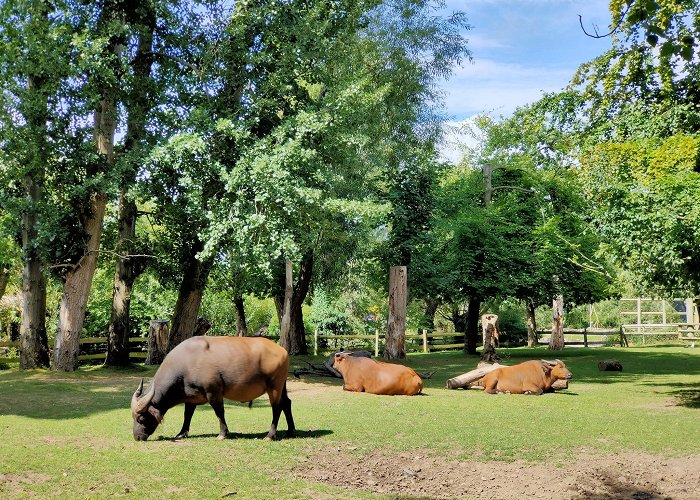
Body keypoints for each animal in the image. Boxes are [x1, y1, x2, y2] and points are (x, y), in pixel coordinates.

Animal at [131, 336, 296, 442]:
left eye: (141, 418)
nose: (137, 437)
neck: (187, 362)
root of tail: (282, 350)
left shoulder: (213, 392)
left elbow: (219, 412)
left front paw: (223, 433)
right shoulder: (191, 396)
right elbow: (187, 415)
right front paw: (181, 433)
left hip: (274, 387)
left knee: (277, 407)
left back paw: (270, 435)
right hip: (282, 386)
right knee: (287, 403)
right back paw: (291, 431)